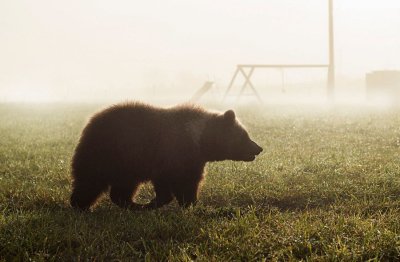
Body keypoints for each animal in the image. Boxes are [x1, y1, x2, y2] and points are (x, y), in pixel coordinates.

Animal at [69, 101, 262, 210]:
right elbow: (175, 182)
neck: (201, 141)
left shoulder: (193, 160)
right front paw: (161, 202)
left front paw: (189, 203)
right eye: (245, 136)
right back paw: (82, 205)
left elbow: (189, 182)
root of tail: (91, 121)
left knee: (117, 187)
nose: (258, 148)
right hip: (110, 152)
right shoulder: (173, 153)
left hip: (124, 163)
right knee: (90, 180)